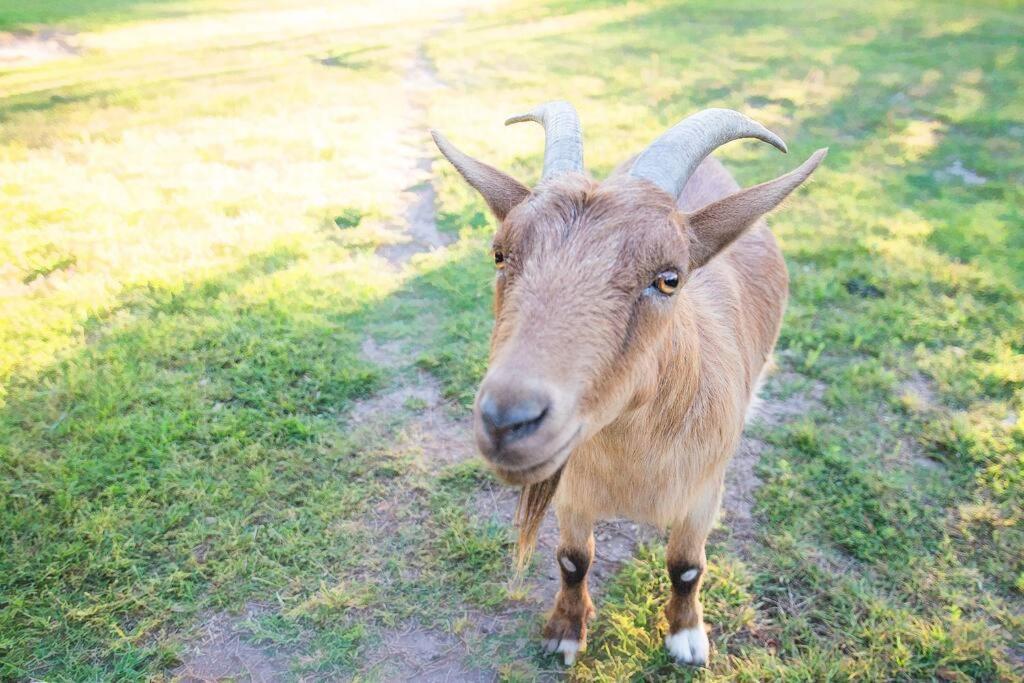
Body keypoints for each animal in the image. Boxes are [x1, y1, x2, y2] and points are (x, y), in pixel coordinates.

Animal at [430, 102, 823, 667]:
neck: (633, 465)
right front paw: (565, 631)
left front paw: (686, 636)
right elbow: (573, 559)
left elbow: (686, 565)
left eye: (669, 278)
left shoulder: (704, 493)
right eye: (500, 254)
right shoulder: (573, 490)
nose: (506, 421)